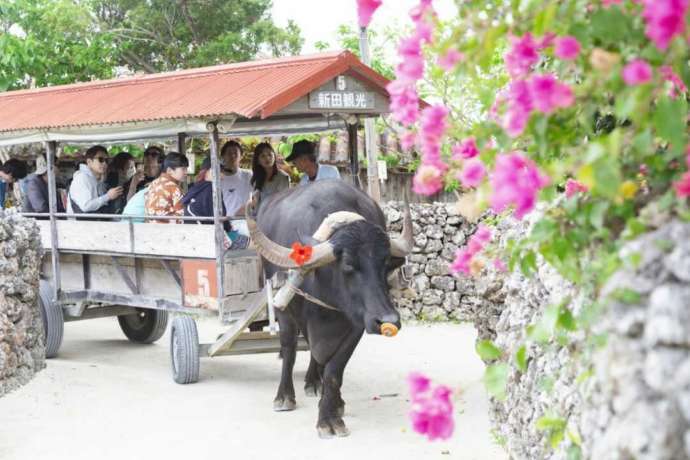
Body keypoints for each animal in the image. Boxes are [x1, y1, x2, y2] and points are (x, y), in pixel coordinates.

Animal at [246, 178, 412, 436]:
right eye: (348, 264)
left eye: (385, 264)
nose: (388, 320)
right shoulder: (290, 312)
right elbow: (294, 350)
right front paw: (288, 399)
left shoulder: (356, 324)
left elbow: (334, 370)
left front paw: (331, 414)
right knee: (292, 348)